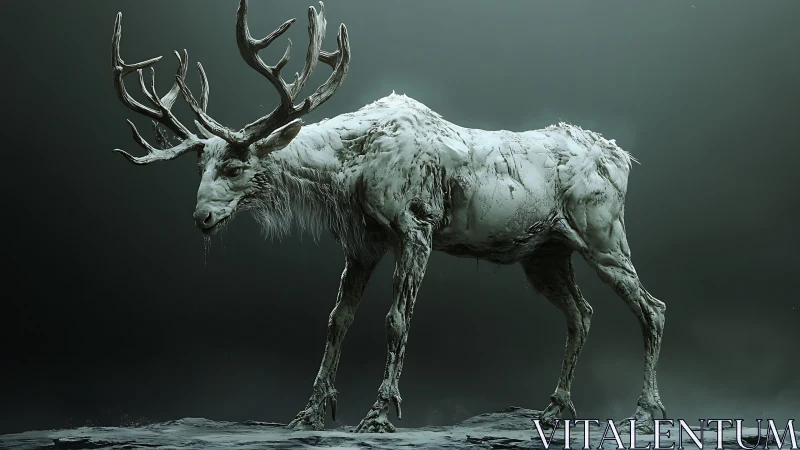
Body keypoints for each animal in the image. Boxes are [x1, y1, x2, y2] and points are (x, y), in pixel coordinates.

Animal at [109, 0, 668, 434]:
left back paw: (646, 411)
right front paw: (310, 412)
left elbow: (397, 321)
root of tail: (624, 158)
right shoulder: (363, 243)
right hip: (545, 254)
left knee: (653, 309)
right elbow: (337, 320)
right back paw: (555, 410)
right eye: (200, 165)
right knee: (582, 314)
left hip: (604, 237)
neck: (350, 170)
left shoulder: (416, 228)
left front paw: (380, 413)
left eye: (234, 164)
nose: (201, 218)